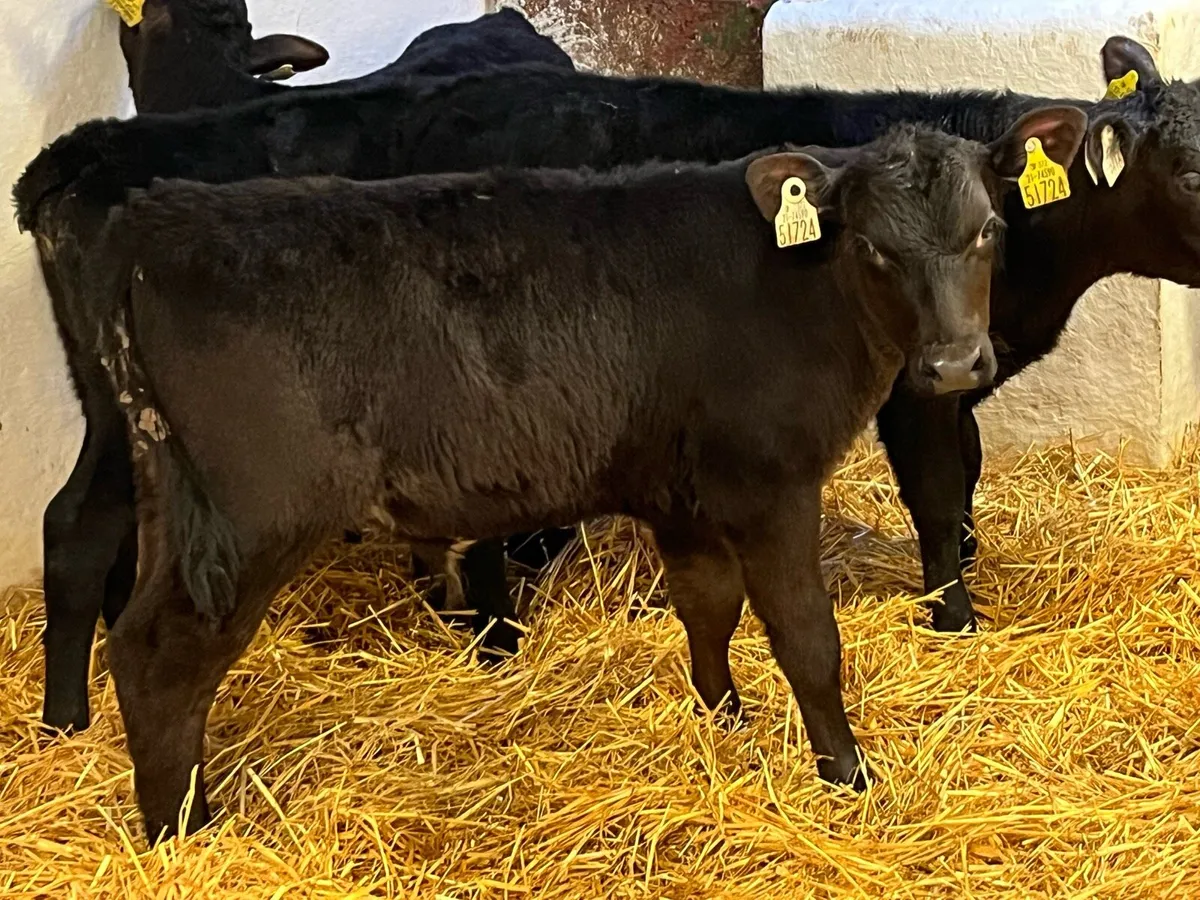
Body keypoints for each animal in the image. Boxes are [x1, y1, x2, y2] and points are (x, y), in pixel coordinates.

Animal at [84, 109, 1083, 839]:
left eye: (990, 229)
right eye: (874, 247)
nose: (953, 366)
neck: (803, 287)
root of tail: (152, 216)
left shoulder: (681, 491)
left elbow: (707, 606)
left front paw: (725, 722)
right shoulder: (771, 483)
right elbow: (806, 636)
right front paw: (847, 774)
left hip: (175, 493)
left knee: (132, 642)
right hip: (256, 513)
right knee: (167, 656)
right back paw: (184, 830)